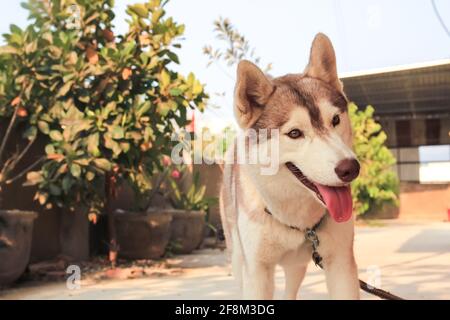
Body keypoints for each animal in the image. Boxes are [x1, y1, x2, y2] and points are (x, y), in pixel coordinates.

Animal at [220, 33, 360, 298]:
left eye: (335, 120)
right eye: (295, 133)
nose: (350, 169)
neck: (299, 222)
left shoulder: (340, 264)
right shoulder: (257, 273)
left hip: (297, 266)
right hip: (238, 259)